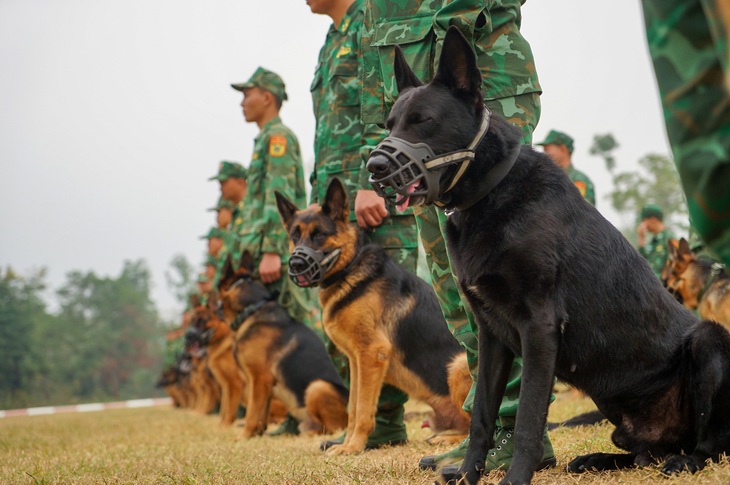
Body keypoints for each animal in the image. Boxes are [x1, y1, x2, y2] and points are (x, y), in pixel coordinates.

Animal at [216, 253, 346, 438]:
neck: (252, 309)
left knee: (333, 428)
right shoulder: (262, 385)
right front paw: (256, 435)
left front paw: (243, 436)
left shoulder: (259, 380)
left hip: (317, 386)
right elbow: (261, 413)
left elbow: (251, 412)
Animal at [272, 178, 466, 454]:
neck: (349, 268)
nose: (296, 265)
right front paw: (347, 444)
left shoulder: (371, 354)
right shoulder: (356, 361)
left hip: (459, 365)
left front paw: (352, 448)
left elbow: (363, 408)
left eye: (319, 234)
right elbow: (353, 407)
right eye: (295, 235)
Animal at [366, 25, 728, 484]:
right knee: (644, 452)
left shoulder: (539, 328)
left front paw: (515, 477)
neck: (492, 193)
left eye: (423, 121)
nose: (374, 167)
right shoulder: (491, 335)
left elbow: (527, 418)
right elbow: (482, 414)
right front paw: (467, 474)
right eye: (391, 123)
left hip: (710, 339)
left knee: (709, 443)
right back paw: (598, 460)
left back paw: (687, 461)